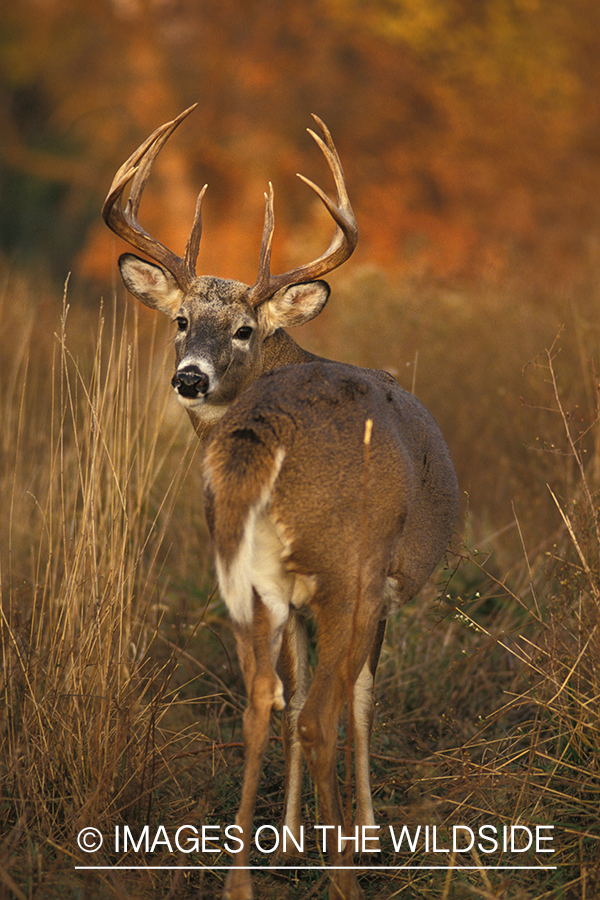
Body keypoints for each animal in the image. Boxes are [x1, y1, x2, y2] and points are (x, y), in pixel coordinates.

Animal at [103, 107, 460, 900]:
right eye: (179, 320)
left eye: (243, 328)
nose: (190, 378)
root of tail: (262, 436)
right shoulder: (370, 582)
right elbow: (358, 698)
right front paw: (363, 834)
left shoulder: (282, 592)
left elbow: (287, 699)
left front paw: (294, 836)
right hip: (346, 569)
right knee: (321, 716)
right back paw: (344, 873)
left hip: (248, 577)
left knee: (261, 703)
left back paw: (243, 878)